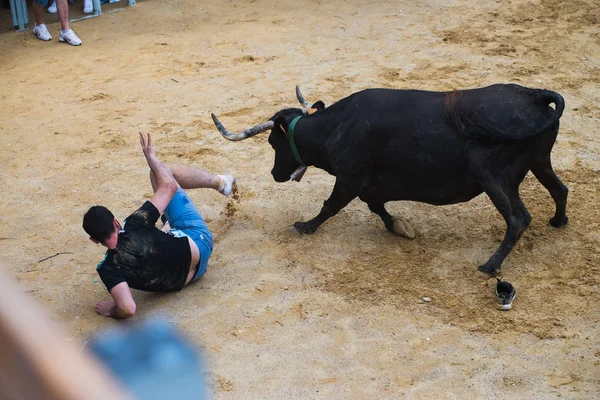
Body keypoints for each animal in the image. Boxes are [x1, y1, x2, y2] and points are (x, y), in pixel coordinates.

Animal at [213, 83, 568, 274]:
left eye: (274, 142)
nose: (275, 174)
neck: (336, 127)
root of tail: (534, 95)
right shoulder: (369, 186)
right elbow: (376, 207)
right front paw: (399, 226)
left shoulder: (350, 178)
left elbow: (330, 206)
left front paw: (305, 226)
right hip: (539, 162)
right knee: (559, 189)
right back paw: (558, 222)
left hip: (494, 179)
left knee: (518, 219)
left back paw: (490, 265)